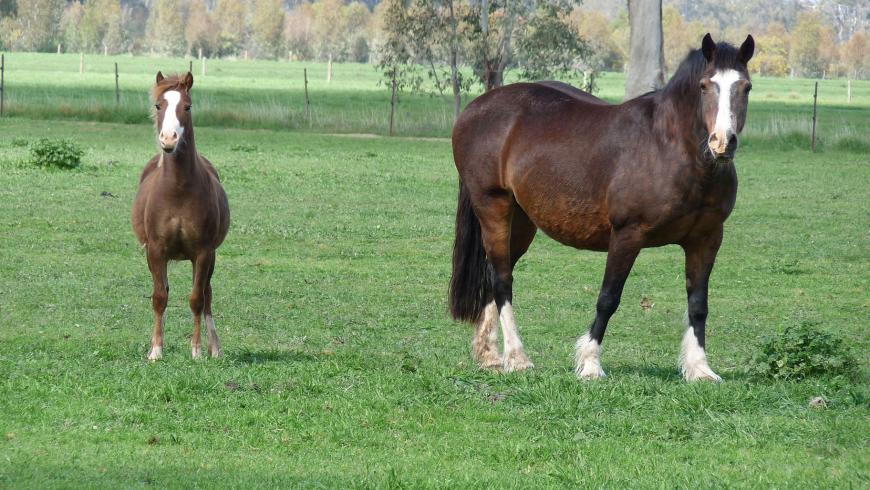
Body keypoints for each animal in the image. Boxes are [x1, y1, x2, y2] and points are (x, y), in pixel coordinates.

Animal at [132, 71, 230, 360]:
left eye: (187, 106)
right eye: (158, 105)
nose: (168, 140)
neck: (177, 190)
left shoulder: (203, 252)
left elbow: (197, 299)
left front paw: (197, 351)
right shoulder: (155, 251)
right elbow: (159, 298)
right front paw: (156, 350)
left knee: (207, 295)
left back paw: (214, 347)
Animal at [448, 34, 754, 381]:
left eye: (745, 87)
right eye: (705, 85)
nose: (722, 142)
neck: (669, 148)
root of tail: (475, 109)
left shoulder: (706, 239)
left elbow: (698, 304)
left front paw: (700, 368)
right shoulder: (627, 235)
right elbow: (608, 298)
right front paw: (591, 364)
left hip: (522, 220)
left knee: (496, 274)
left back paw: (489, 355)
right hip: (493, 206)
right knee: (502, 279)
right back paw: (517, 357)